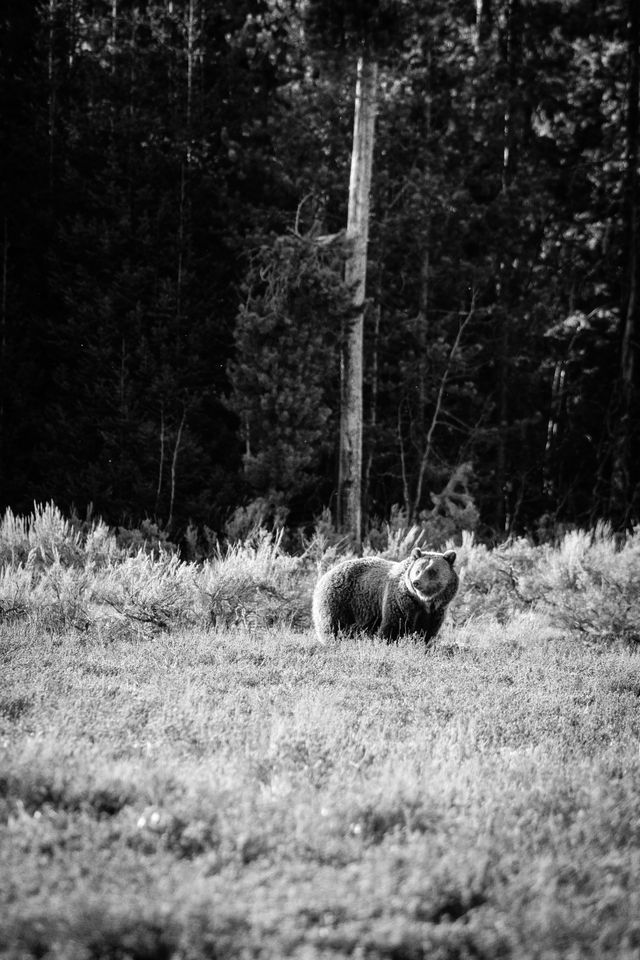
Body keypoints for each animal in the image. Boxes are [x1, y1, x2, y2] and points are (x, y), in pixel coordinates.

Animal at [312, 548, 458, 644]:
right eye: (418, 570)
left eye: (432, 571)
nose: (416, 582)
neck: (424, 602)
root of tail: (327, 573)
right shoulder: (400, 602)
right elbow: (393, 627)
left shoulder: (436, 611)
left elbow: (426, 632)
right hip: (340, 600)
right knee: (334, 625)